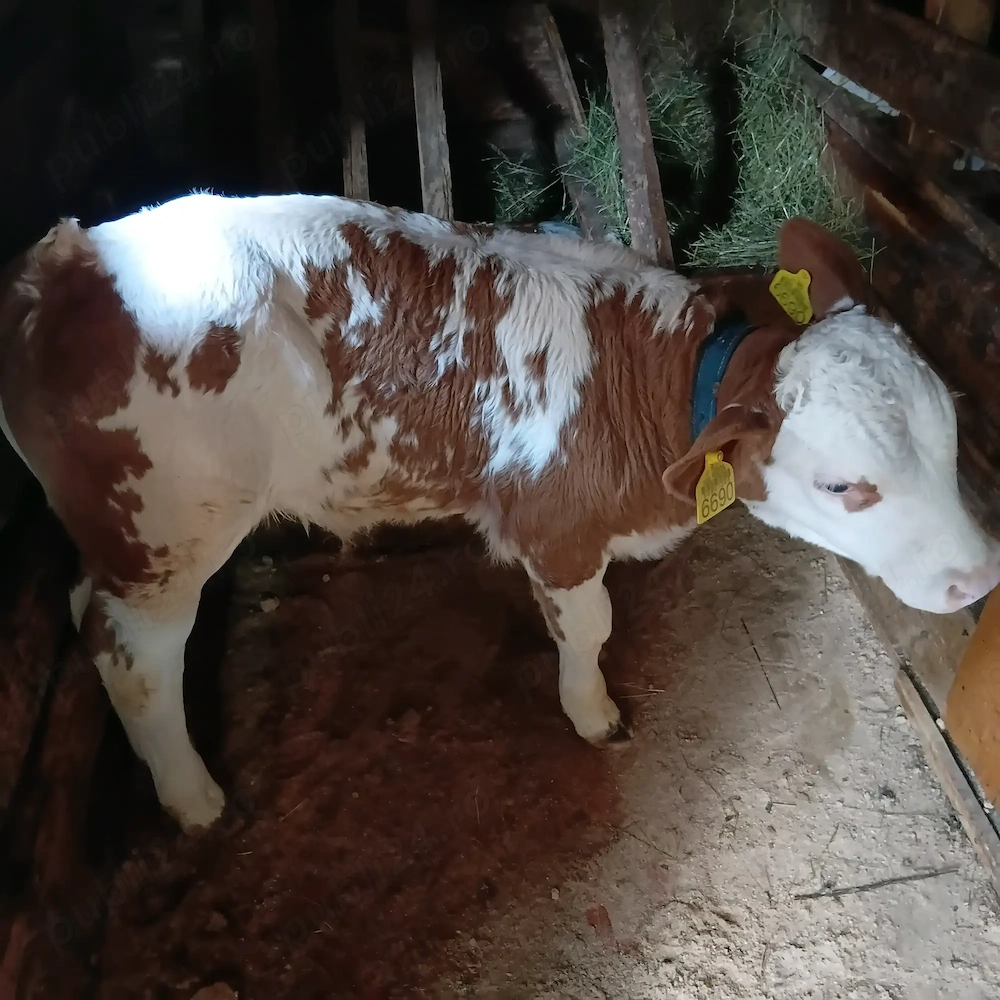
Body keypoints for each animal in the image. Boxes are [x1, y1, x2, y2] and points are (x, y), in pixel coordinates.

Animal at [1, 193, 996, 832]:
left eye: (953, 437)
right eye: (845, 485)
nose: (980, 575)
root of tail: (70, 261)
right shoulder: (557, 529)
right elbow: (588, 627)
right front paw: (593, 713)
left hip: (128, 538)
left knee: (91, 613)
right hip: (172, 532)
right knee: (133, 661)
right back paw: (195, 801)